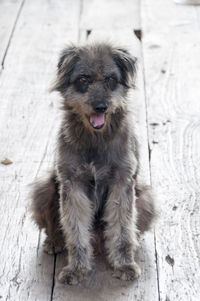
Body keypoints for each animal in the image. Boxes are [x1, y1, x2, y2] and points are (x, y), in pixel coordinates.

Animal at [30, 42, 156, 284]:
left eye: (111, 79)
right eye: (83, 79)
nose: (100, 106)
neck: (95, 138)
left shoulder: (121, 184)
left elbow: (122, 229)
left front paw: (124, 264)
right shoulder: (73, 185)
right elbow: (76, 230)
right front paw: (77, 269)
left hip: (146, 199)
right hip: (44, 188)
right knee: (55, 226)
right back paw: (54, 241)